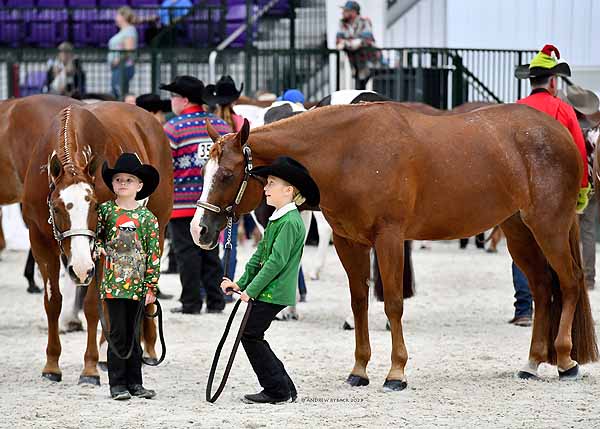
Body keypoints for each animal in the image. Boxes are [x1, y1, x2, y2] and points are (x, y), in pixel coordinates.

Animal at [21, 102, 171, 382]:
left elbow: (92, 305)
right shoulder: (40, 241)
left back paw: (142, 348)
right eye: (56, 208)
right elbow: (53, 302)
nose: (81, 269)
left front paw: (89, 367)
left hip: (160, 227)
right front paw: (51, 364)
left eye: (95, 207)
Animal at [193, 102, 600, 390]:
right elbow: (359, 303)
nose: (200, 230)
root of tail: (560, 131)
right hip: (518, 230)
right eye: (204, 172)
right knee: (543, 286)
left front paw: (396, 372)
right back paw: (532, 362)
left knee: (569, 281)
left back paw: (566, 361)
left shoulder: (388, 238)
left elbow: (392, 303)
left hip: (549, 226)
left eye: (226, 175)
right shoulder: (349, 242)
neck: (349, 152)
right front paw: (359, 370)